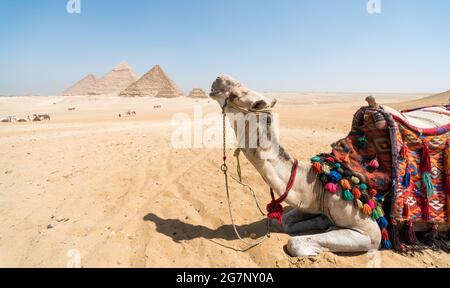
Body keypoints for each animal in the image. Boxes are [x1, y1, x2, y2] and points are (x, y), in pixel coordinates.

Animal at [209, 75, 388, 256]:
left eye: (235, 95)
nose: (218, 78)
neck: (320, 182)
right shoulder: (310, 203)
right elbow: (285, 222)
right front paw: (324, 222)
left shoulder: (370, 232)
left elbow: (293, 243)